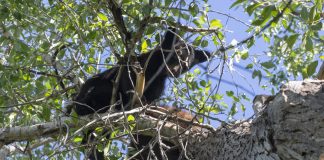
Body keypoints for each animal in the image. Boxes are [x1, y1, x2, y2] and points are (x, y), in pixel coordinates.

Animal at [73, 28, 210, 159]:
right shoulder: (141, 64)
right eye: (178, 55)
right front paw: (133, 99)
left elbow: (152, 99)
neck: (159, 70)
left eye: (187, 66)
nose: (178, 70)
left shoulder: (158, 83)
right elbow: (127, 76)